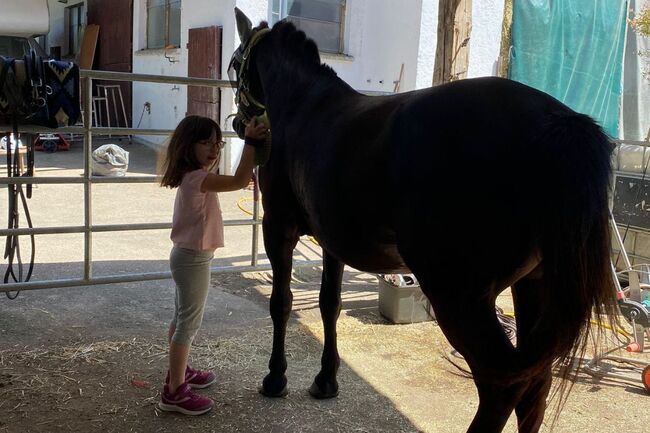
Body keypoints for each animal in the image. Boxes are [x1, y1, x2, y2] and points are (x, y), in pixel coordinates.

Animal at [230, 7, 616, 432]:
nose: (238, 125)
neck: (304, 103)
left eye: (234, 64)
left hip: (459, 297)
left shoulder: (277, 228)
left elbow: (281, 302)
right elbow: (329, 303)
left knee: (503, 383)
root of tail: (558, 121)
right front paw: (325, 380)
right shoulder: (331, 241)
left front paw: (275, 378)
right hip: (534, 284)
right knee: (536, 384)